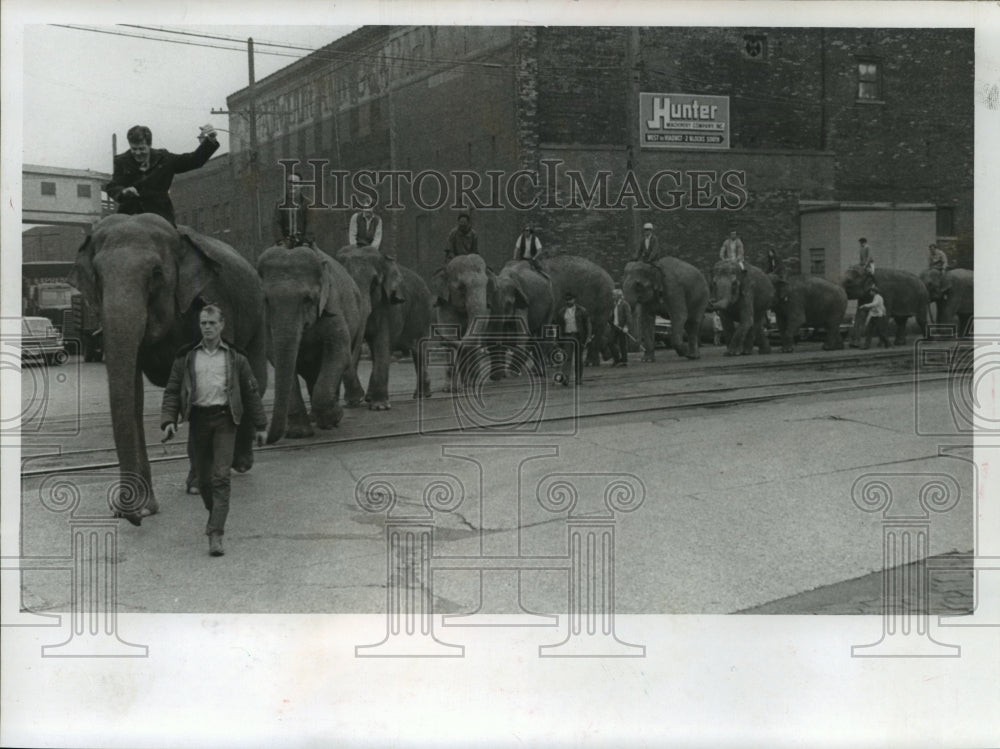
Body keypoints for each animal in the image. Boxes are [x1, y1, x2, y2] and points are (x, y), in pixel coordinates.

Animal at [70, 213, 268, 524]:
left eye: (156, 273)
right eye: (98, 277)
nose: (125, 511)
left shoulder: (217, 301)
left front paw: (197, 487)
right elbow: (134, 394)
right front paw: (143, 506)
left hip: (258, 315)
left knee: (256, 379)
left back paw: (237, 466)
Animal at [256, 243, 370, 442]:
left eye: (307, 299)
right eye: (266, 300)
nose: (262, 438)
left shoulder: (332, 304)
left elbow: (339, 352)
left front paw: (333, 419)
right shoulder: (267, 321)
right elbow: (277, 358)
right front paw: (298, 434)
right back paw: (314, 418)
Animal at [336, 245, 434, 410]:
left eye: (374, 283)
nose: (357, 398)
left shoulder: (389, 306)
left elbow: (382, 341)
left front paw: (379, 407)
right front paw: (354, 402)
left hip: (423, 313)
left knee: (418, 350)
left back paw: (421, 396)